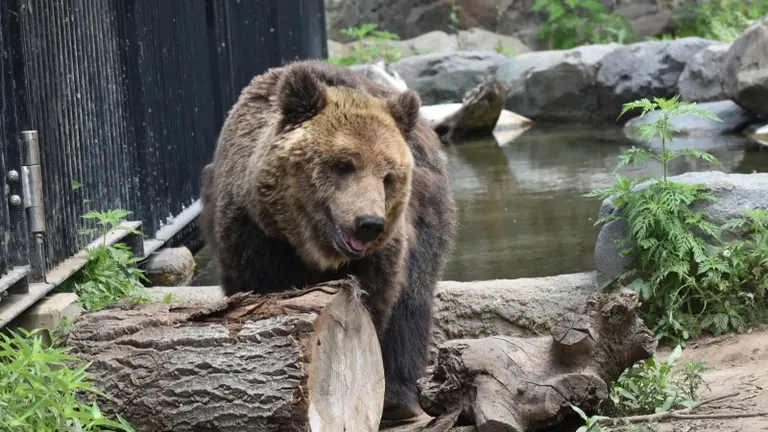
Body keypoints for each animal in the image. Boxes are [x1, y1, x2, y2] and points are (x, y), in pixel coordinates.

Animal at [201, 59, 460, 424]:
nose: (369, 224)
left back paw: (399, 399)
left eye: (388, 175)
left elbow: (377, 306)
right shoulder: (253, 234)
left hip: (428, 217)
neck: (311, 245)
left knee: (412, 304)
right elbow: (258, 287)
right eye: (343, 164)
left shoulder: (383, 253)